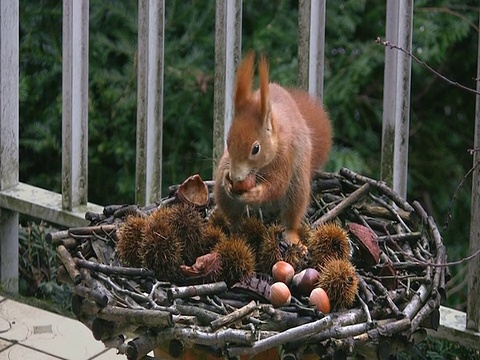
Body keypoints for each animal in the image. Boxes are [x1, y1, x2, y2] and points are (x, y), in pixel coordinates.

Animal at [213, 51, 330, 248]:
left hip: (297, 187)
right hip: (224, 196)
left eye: (256, 149)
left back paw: (291, 236)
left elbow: (276, 186)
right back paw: (234, 231)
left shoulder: (285, 156)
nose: (236, 177)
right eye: (227, 142)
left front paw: (253, 195)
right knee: (233, 216)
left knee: (292, 214)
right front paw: (227, 181)